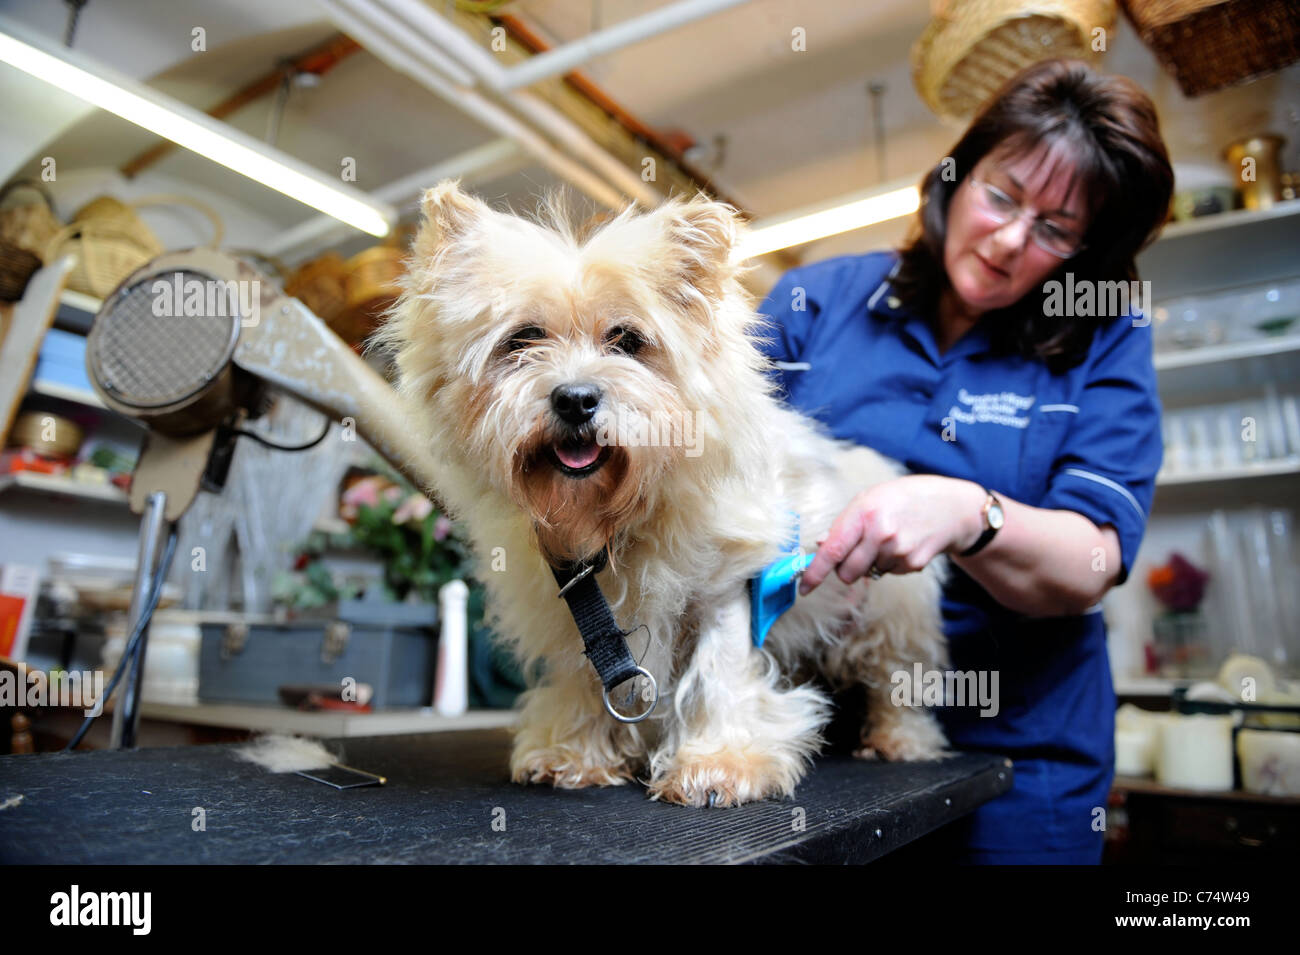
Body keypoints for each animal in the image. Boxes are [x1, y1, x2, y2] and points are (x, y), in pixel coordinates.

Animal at [379, 179, 951, 805]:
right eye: (523, 339)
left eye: (627, 341)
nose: (575, 399)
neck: (616, 517)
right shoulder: (581, 609)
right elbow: (585, 675)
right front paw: (575, 753)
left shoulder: (729, 589)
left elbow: (719, 673)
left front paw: (720, 763)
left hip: (892, 615)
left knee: (897, 682)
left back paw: (900, 740)